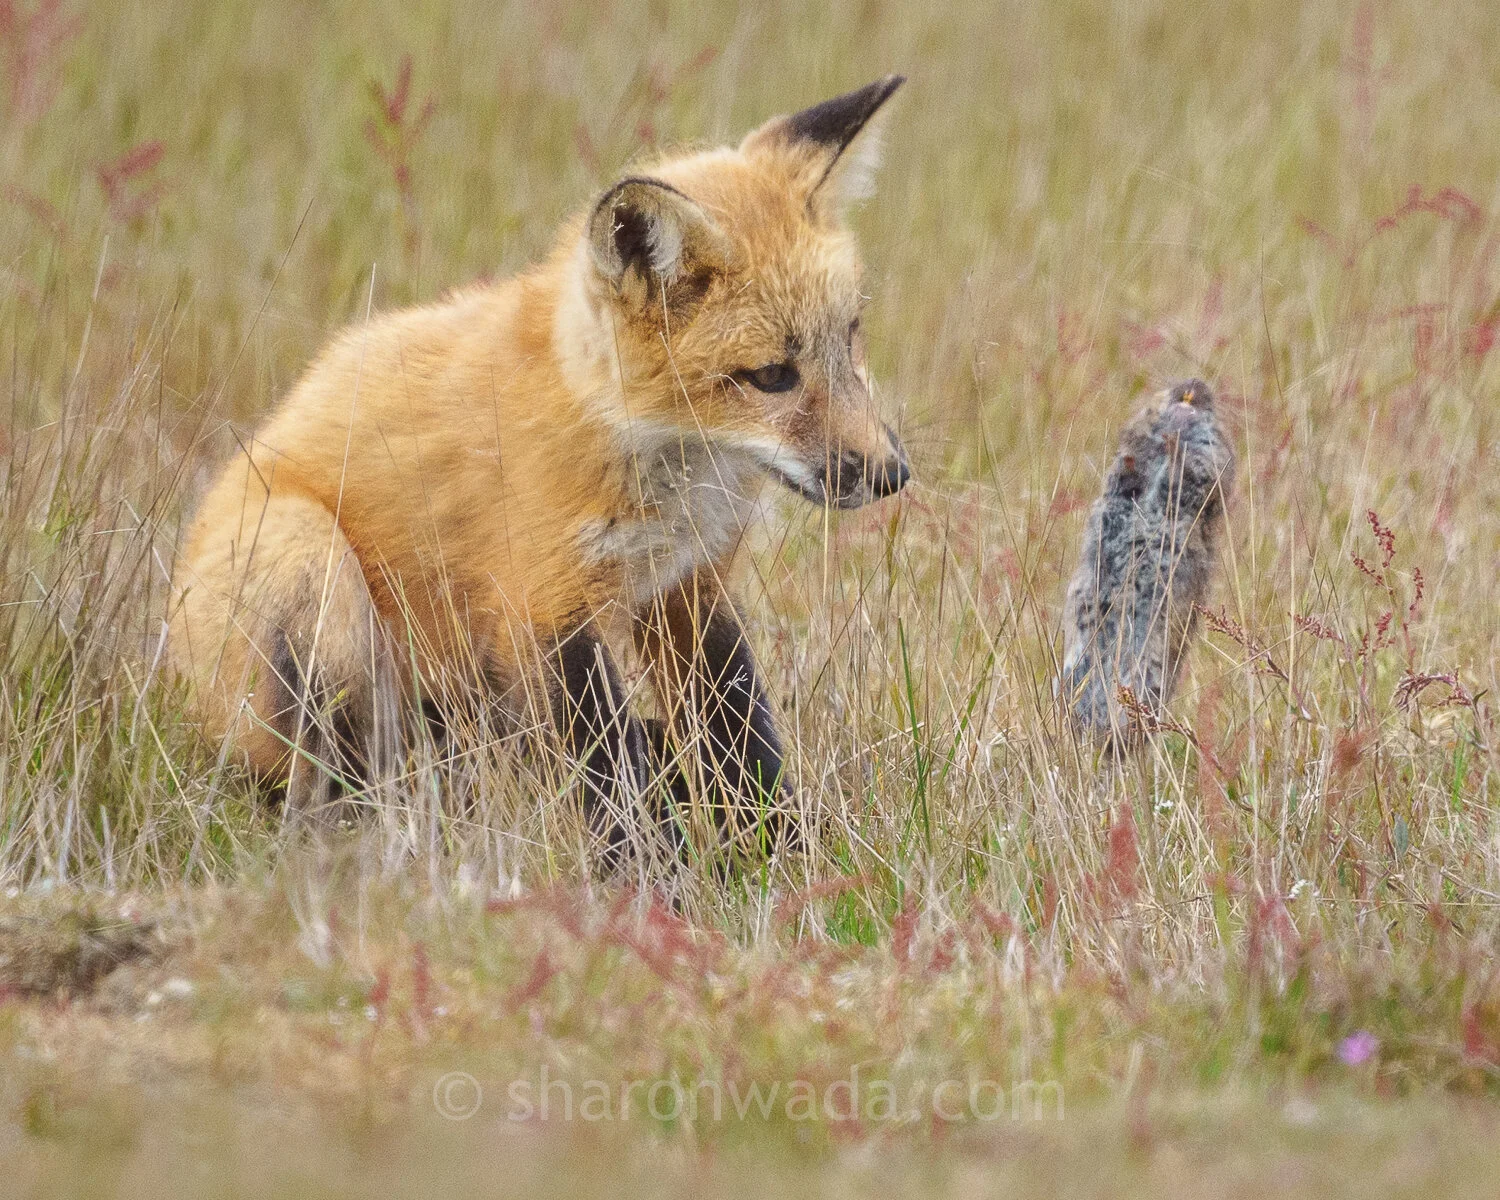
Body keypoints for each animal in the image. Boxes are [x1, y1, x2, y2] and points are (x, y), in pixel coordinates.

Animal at [167, 76, 912, 862]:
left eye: (850, 336)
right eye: (771, 376)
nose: (892, 474)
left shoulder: (686, 590)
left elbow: (747, 741)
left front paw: (789, 857)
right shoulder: (544, 607)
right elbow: (610, 772)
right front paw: (646, 880)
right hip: (316, 572)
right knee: (347, 782)